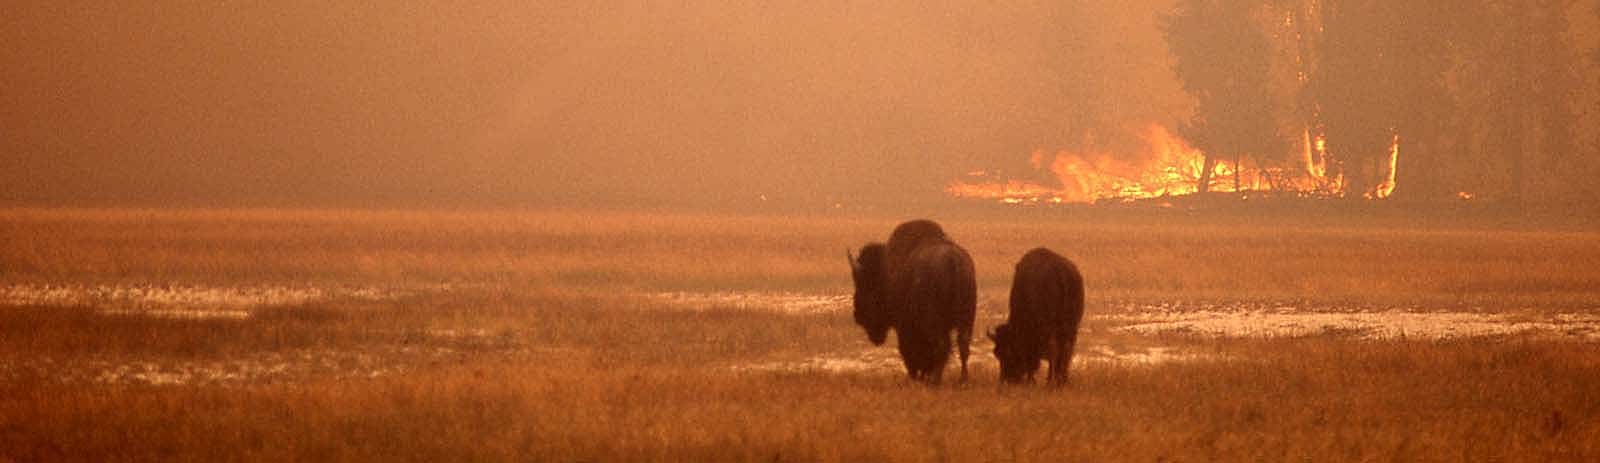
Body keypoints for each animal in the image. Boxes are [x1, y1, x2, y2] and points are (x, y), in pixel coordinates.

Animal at [849, 220, 977, 384]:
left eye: (864, 285)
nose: (857, 315)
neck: (886, 273)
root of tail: (953, 261)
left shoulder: (904, 326)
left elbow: (908, 351)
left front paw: (915, 376)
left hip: (935, 321)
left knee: (942, 345)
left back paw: (934, 381)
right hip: (967, 319)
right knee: (963, 344)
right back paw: (962, 380)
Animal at [989, 247, 1084, 386]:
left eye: (1009, 353)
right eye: (996, 353)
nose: (1009, 379)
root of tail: (1061, 272)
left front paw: (1031, 380)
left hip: (1053, 327)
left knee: (1054, 349)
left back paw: (1049, 382)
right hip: (1071, 326)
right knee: (1067, 350)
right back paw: (1062, 380)